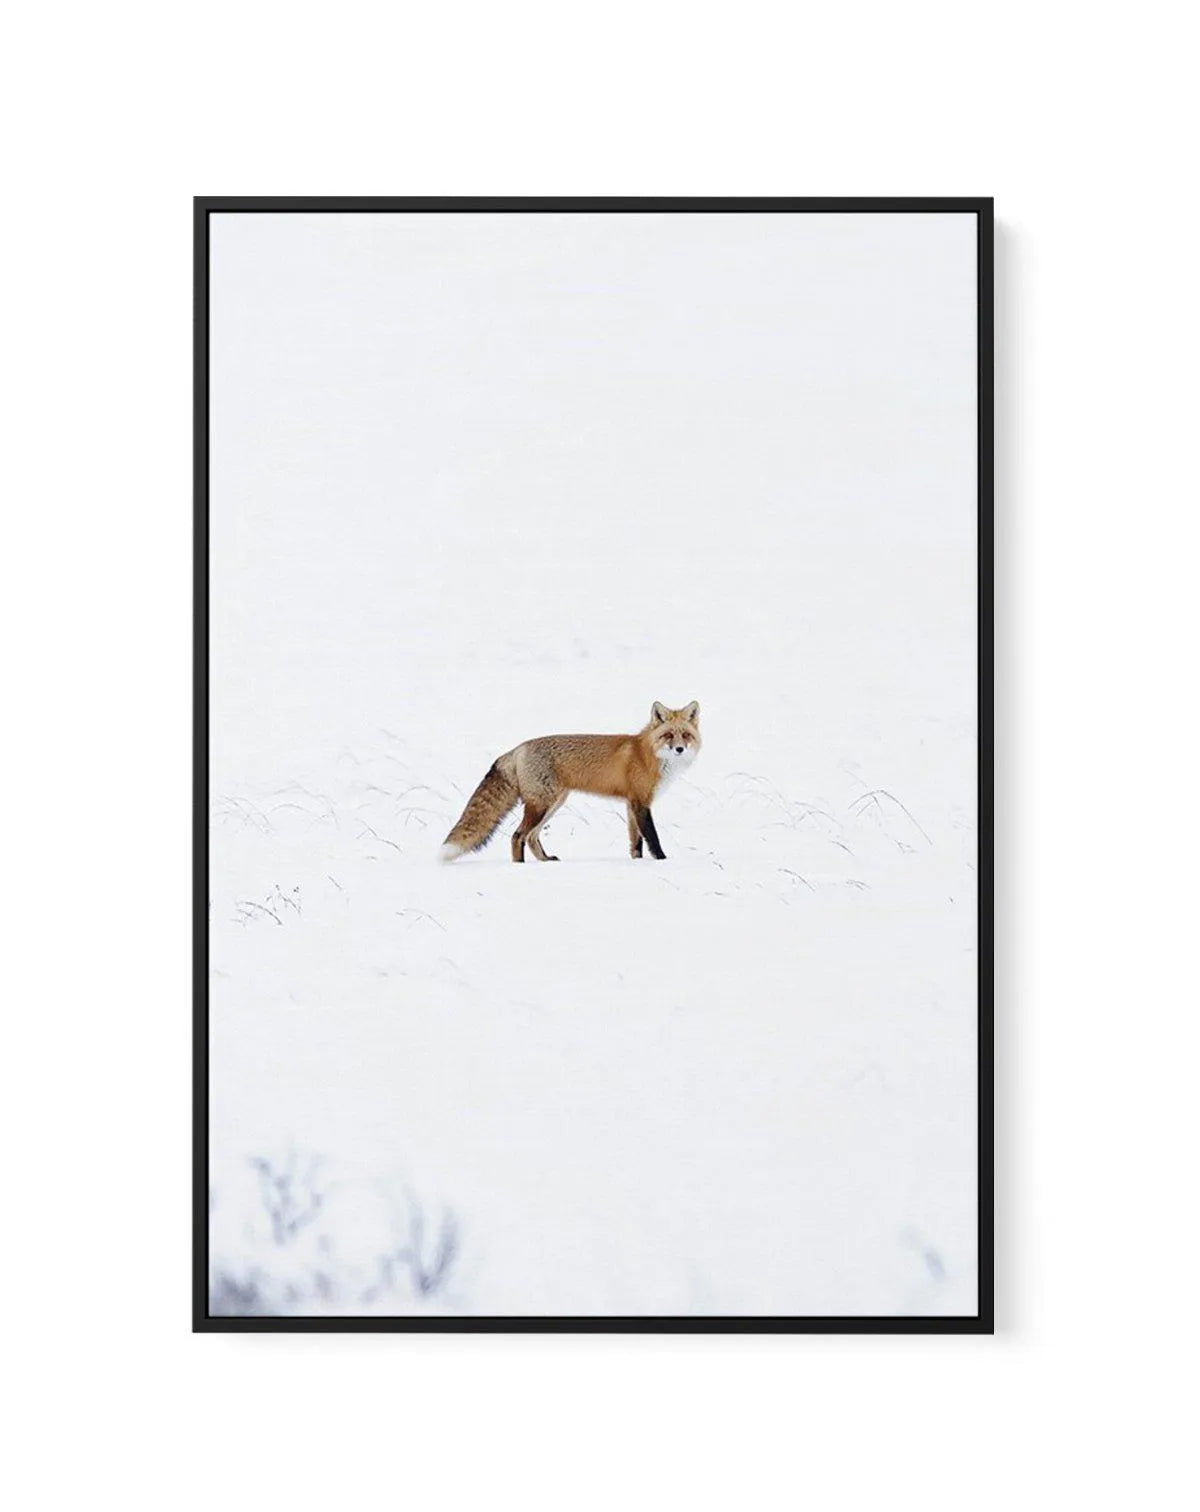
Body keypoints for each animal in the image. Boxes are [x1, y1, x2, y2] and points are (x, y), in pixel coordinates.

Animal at [440, 701, 701, 863]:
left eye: (686, 735)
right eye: (668, 735)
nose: (679, 749)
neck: (648, 754)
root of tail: (518, 748)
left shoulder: (631, 804)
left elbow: (635, 842)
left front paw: (638, 862)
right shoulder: (640, 802)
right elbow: (652, 837)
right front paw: (662, 860)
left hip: (554, 803)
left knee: (531, 837)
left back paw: (545, 860)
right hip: (542, 804)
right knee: (517, 836)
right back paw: (520, 867)